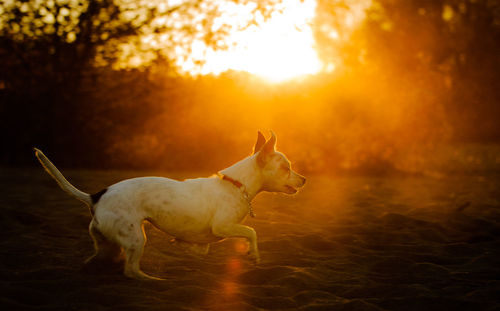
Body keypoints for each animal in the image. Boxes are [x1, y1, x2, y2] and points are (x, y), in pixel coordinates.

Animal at [34, 131, 304, 280]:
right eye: (286, 168)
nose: (304, 179)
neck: (237, 185)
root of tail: (95, 196)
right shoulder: (223, 227)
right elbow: (252, 232)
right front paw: (254, 254)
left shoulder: (208, 238)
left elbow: (200, 248)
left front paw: (181, 243)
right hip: (136, 238)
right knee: (131, 270)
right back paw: (153, 280)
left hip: (110, 244)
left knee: (99, 261)